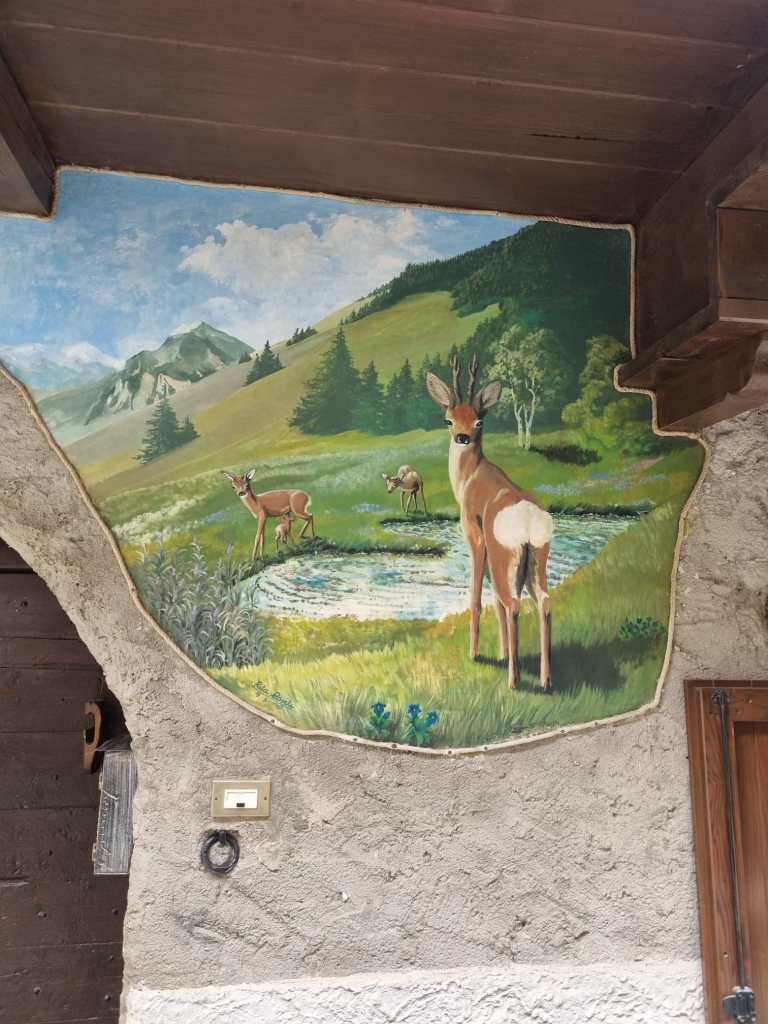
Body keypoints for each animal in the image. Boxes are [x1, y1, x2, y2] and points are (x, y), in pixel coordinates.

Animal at [425, 355, 553, 692]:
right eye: (448, 419)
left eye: (479, 421)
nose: (462, 436)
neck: (470, 477)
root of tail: (528, 522)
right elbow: (493, 600)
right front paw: (501, 652)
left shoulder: (475, 535)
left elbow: (477, 598)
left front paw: (476, 654)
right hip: (536, 560)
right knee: (543, 601)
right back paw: (545, 679)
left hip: (503, 556)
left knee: (513, 603)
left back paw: (514, 680)